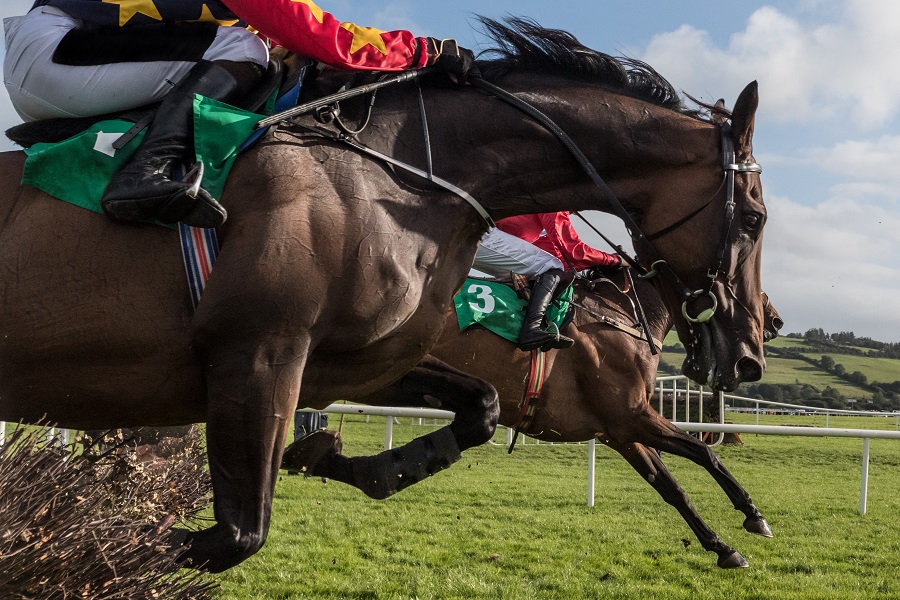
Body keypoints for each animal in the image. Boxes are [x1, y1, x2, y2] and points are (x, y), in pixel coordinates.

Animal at [3, 19, 768, 572]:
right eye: (757, 220)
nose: (749, 354)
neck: (400, 173)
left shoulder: (355, 364)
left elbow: (487, 411)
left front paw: (363, 463)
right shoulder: (259, 353)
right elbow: (233, 535)